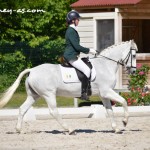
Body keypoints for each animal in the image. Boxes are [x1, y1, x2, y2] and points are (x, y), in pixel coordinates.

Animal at [0, 39, 137, 134]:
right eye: (134, 55)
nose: (134, 71)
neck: (105, 65)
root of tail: (32, 70)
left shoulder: (103, 94)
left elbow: (109, 110)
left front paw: (116, 129)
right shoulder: (106, 91)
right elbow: (124, 101)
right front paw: (124, 122)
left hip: (34, 95)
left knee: (22, 109)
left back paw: (19, 130)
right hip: (48, 94)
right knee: (53, 111)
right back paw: (70, 129)